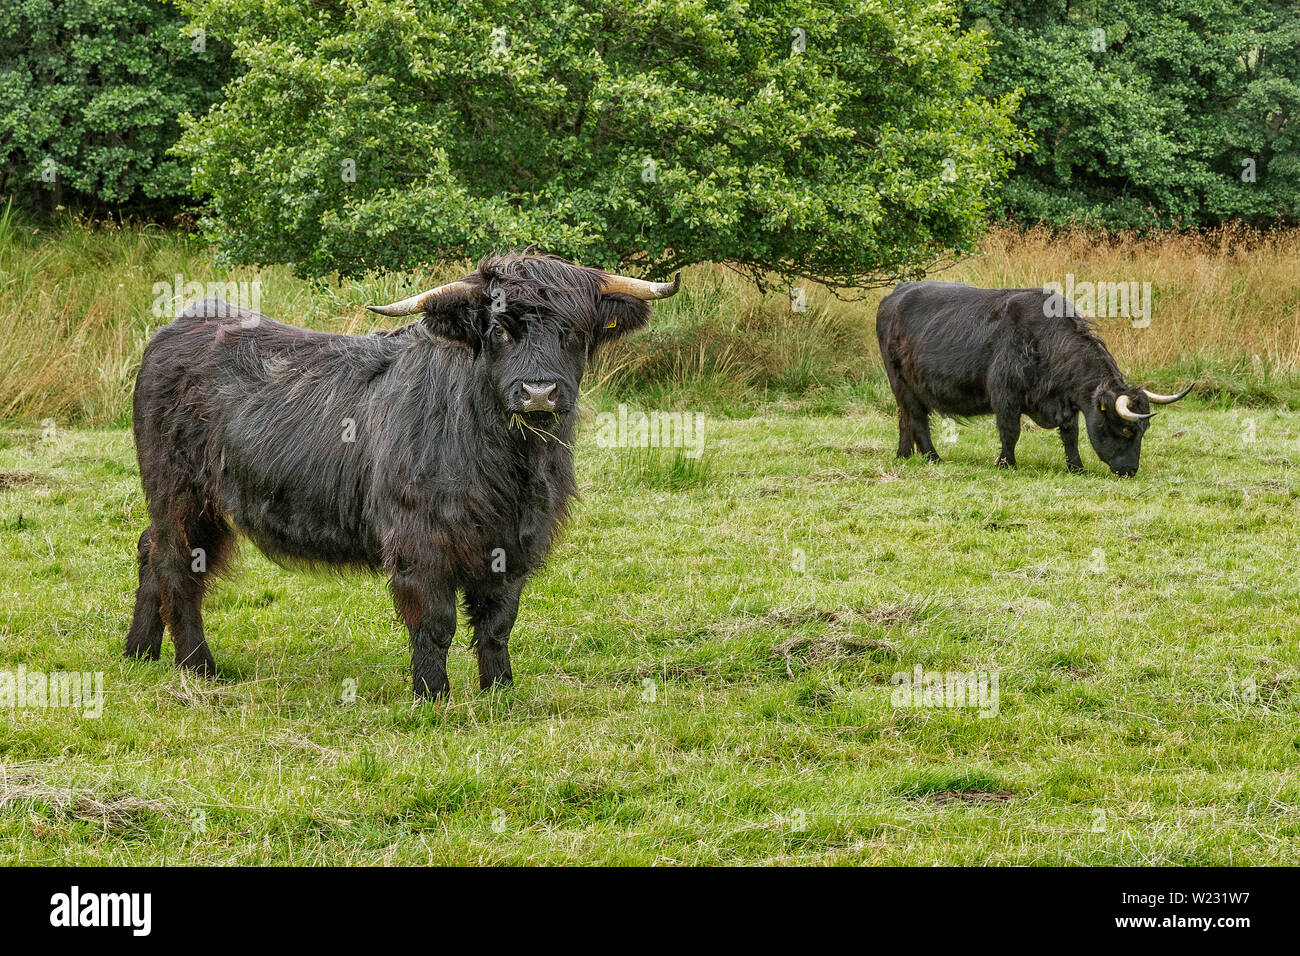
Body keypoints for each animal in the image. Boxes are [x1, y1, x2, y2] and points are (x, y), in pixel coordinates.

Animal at [126, 252, 686, 702]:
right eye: (500, 330)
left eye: (574, 332)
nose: (539, 392)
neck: (511, 463)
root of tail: (180, 324)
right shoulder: (420, 539)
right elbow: (435, 621)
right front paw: (432, 695)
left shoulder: (515, 541)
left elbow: (498, 622)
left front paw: (500, 690)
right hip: (180, 490)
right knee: (177, 564)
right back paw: (198, 666)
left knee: (149, 548)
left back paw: (139, 651)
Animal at [878, 283, 1190, 478]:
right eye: (1126, 430)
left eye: (1144, 430)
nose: (1131, 470)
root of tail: (898, 292)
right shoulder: (1005, 395)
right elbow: (1010, 431)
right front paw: (1006, 463)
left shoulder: (1067, 404)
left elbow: (1070, 436)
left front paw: (1076, 467)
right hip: (901, 381)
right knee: (917, 419)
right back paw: (933, 458)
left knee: (905, 418)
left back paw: (904, 455)